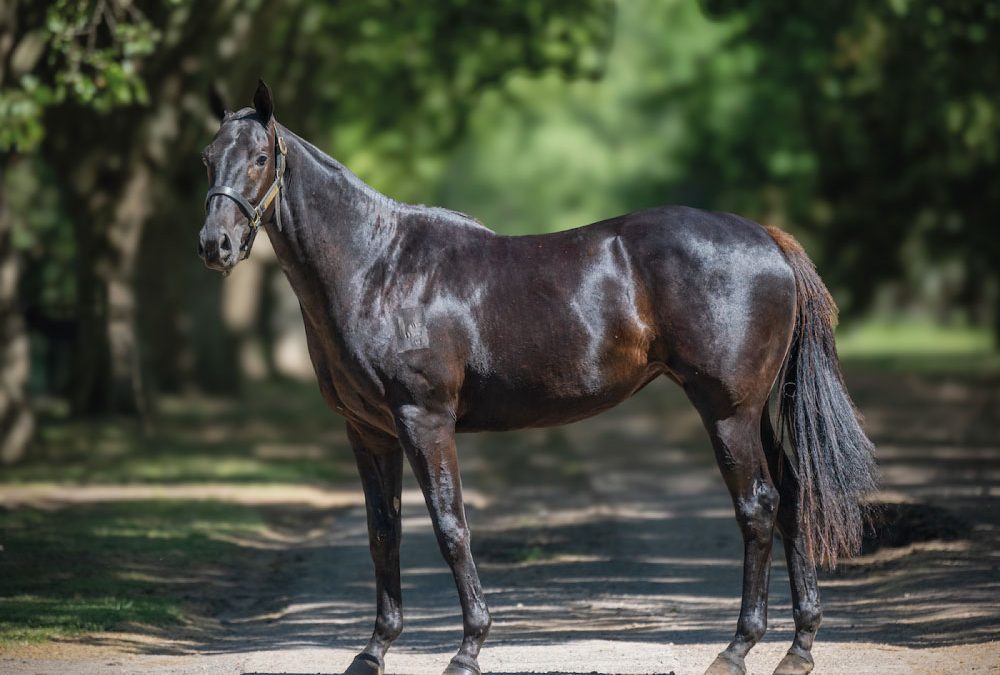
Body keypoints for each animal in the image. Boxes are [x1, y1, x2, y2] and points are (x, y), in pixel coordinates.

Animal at [197, 82, 876, 675]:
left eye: (260, 158)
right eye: (207, 159)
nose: (215, 245)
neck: (379, 267)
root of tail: (767, 238)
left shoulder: (424, 421)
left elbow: (450, 527)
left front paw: (467, 650)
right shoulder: (369, 433)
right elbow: (382, 534)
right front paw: (372, 652)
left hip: (728, 412)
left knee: (759, 507)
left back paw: (735, 650)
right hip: (755, 413)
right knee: (793, 497)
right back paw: (798, 649)